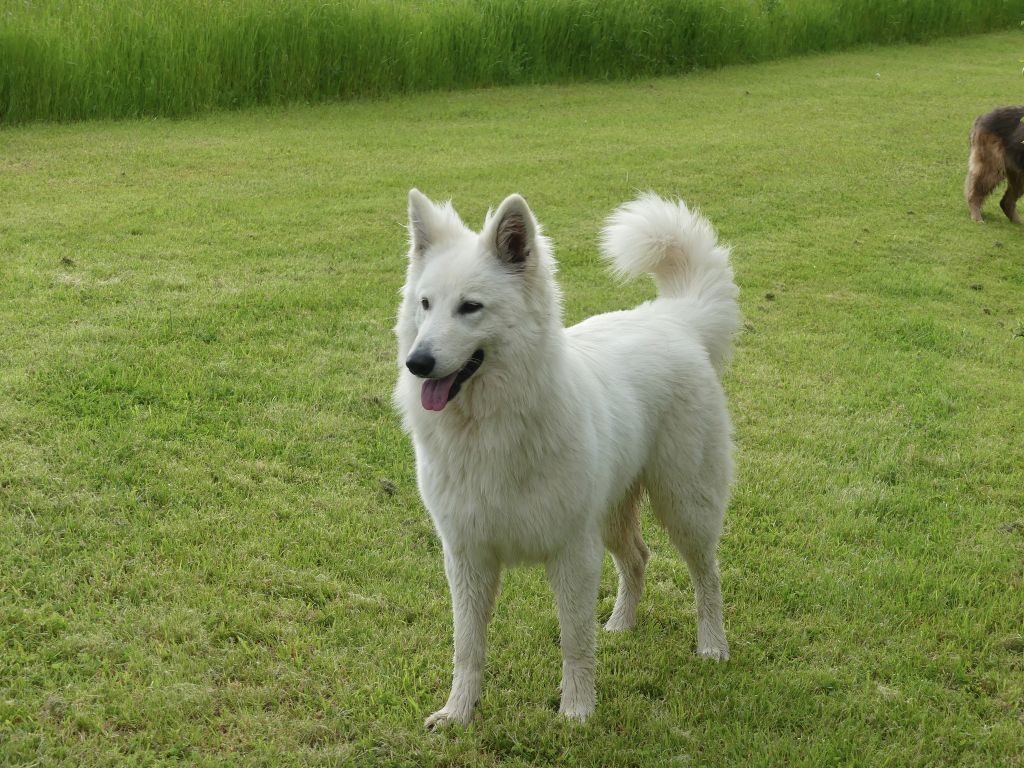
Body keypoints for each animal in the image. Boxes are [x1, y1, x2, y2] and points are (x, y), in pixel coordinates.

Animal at [395, 191, 741, 729]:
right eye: (425, 304)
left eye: (470, 307)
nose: (418, 363)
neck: (492, 428)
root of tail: (672, 317)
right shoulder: (468, 557)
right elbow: (467, 647)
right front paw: (458, 714)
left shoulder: (572, 553)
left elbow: (575, 641)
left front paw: (577, 711)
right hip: (615, 516)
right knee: (638, 558)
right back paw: (620, 625)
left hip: (686, 508)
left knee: (708, 578)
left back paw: (712, 646)